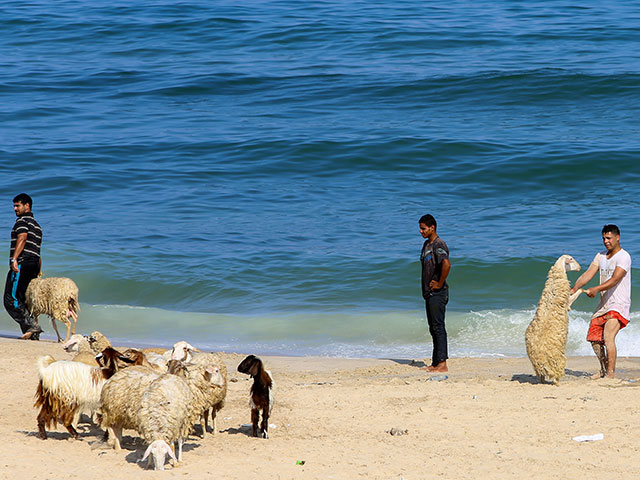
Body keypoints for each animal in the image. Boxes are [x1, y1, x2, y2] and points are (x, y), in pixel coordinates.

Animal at [528, 255, 584, 386]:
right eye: (571, 259)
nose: (580, 267)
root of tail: (540, 359)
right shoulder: (568, 302)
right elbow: (576, 294)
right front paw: (584, 290)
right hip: (556, 361)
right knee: (555, 376)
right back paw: (557, 383)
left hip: (538, 366)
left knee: (541, 376)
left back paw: (543, 381)